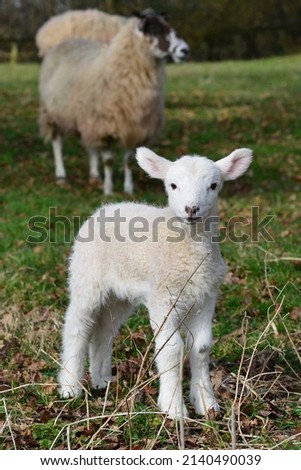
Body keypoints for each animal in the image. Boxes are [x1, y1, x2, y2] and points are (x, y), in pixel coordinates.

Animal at [38, 11, 189, 195]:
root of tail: (67, 39)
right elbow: (109, 161)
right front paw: (108, 190)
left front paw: (128, 189)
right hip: (52, 113)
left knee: (90, 146)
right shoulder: (105, 125)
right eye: (153, 30)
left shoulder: (133, 127)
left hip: (85, 118)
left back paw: (94, 176)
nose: (184, 50)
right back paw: (61, 176)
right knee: (57, 144)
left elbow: (129, 160)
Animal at [58, 145, 251, 416]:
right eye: (173, 185)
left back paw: (102, 381)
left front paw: (207, 404)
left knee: (104, 330)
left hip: (120, 294)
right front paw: (174, 408)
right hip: (87, 277)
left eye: (214, 185)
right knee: (77, 325)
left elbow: (201, 348)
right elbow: (172, 349)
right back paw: (69, 387)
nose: (191, 209)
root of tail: (108, 207)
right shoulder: (163, 297)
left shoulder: (205, 297)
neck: (188, 250)